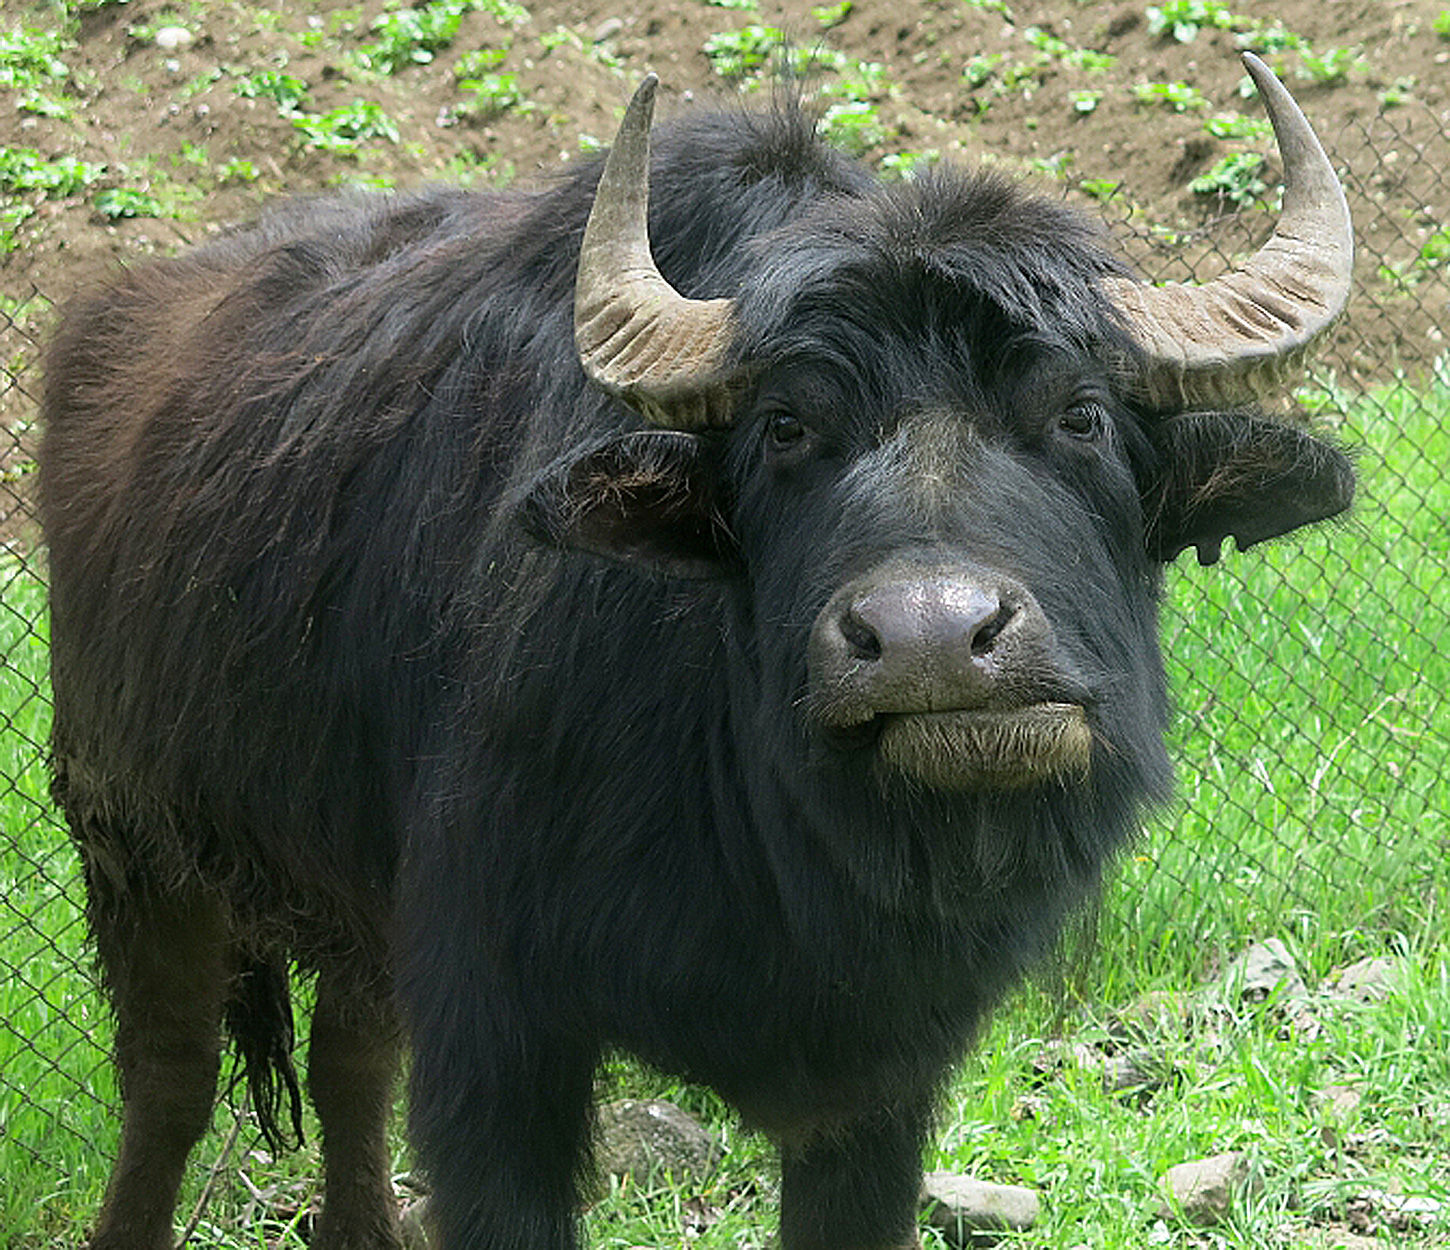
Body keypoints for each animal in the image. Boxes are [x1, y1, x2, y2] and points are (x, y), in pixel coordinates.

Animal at [39, 53, 1351, 1247]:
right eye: (785, 427)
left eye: (1079, 416)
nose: (930, 641)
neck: (771, 854)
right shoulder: (492, 1031)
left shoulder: (879, 1079)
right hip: (129, 836)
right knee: (172, 1078)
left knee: (347, 1058)